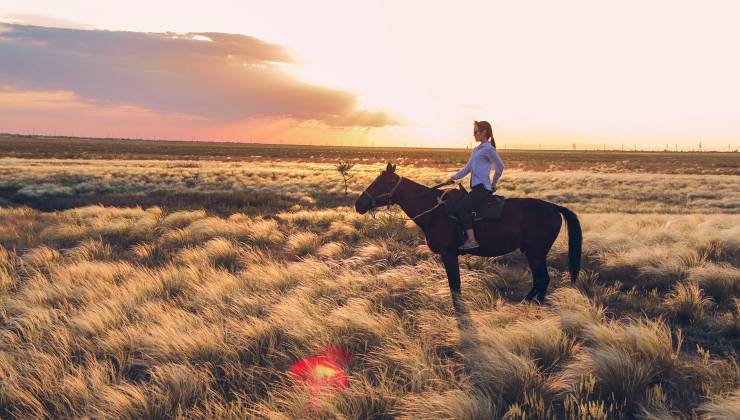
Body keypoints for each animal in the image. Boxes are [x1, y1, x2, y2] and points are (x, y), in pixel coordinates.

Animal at [356, 162, 580, 304]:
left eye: (379, 183)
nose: (359, 204)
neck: (435, 211)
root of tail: (553, 207)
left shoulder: (449, 254)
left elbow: (455, 286)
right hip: (532, 252)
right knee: (540, 280)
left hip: (536, 252)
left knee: (543, 279)